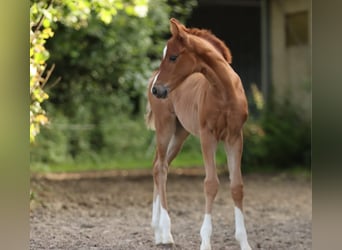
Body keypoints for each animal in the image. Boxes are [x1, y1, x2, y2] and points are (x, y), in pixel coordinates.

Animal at [145, 18, 251, 250]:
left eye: (173, 56)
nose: (157, 90)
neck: (225, 92)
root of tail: (151, 77)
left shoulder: (234, 137)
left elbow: (237, 186)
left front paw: (244, 242)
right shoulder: (207, 135)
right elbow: (210, 184)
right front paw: (205, 242)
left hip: (180, 133)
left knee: (158, 165)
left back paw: (157, 231)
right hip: (165, 127)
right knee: (161, 168)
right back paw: (166, 232)